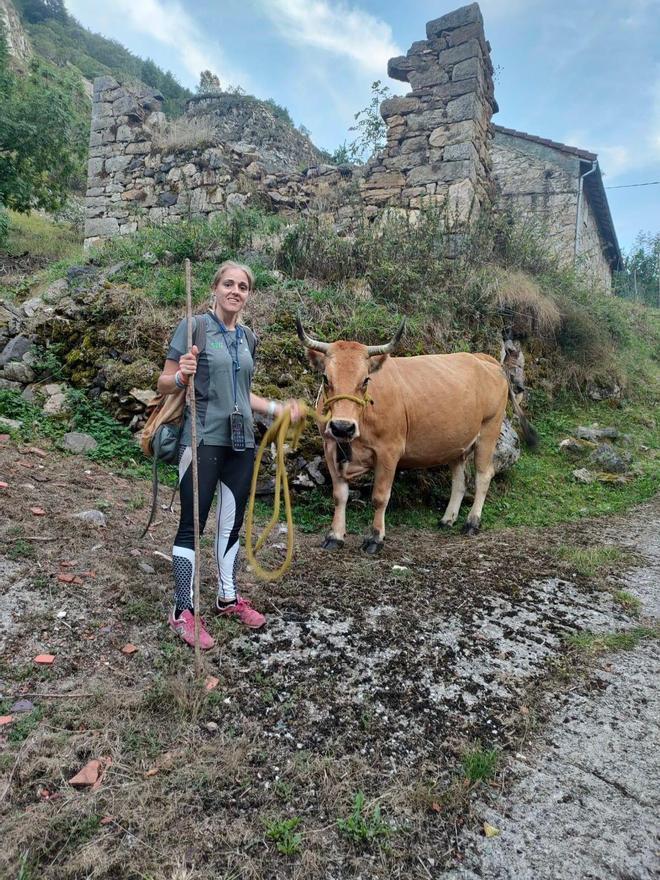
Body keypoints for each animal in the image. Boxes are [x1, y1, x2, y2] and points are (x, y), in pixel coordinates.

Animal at [296, 316, 540, 552]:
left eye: (365, 380)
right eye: (325, 378)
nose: (342, 427)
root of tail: (481, 358)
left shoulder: (389, 451)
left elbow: (380, 497)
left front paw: (375, 538)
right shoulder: (330, 448)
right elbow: (339, 495)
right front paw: (334, 536)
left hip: (489, 430)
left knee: (483, 475)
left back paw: (472, 522)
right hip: (457, 444)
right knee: (460, 481)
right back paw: (447, 519)